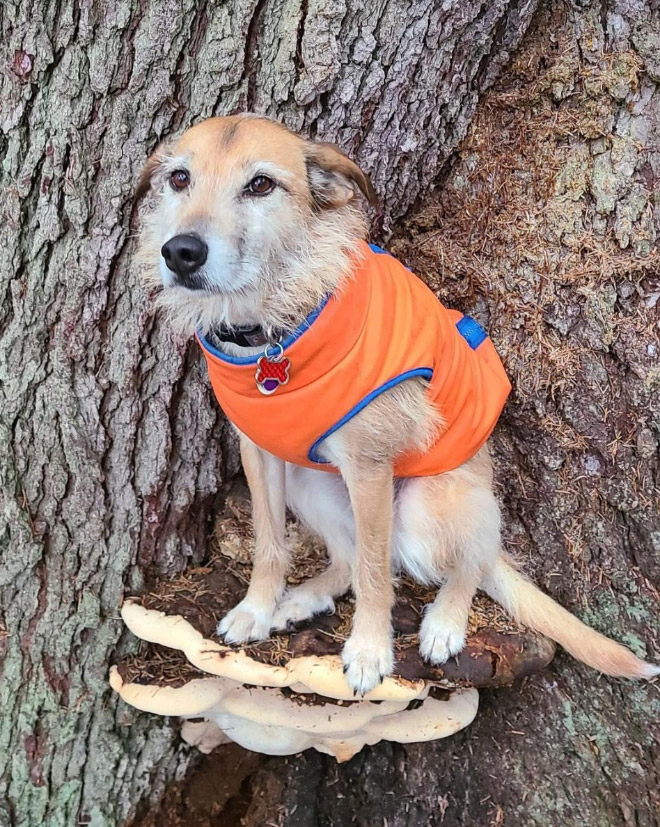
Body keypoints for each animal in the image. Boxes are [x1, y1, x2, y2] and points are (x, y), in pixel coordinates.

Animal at [135, 115, 660, 700]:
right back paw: (301, 600)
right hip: (309, 483)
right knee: (350, 558)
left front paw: (369, 652)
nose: (181, 252)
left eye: (261, 185)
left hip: (426, 506)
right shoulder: (261, 456)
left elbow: (373, 574)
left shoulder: (369, 470)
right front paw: (257, 608)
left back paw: (445, 622)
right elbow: (272, 543)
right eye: (179, 178)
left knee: (466, 558)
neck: (273, 332)